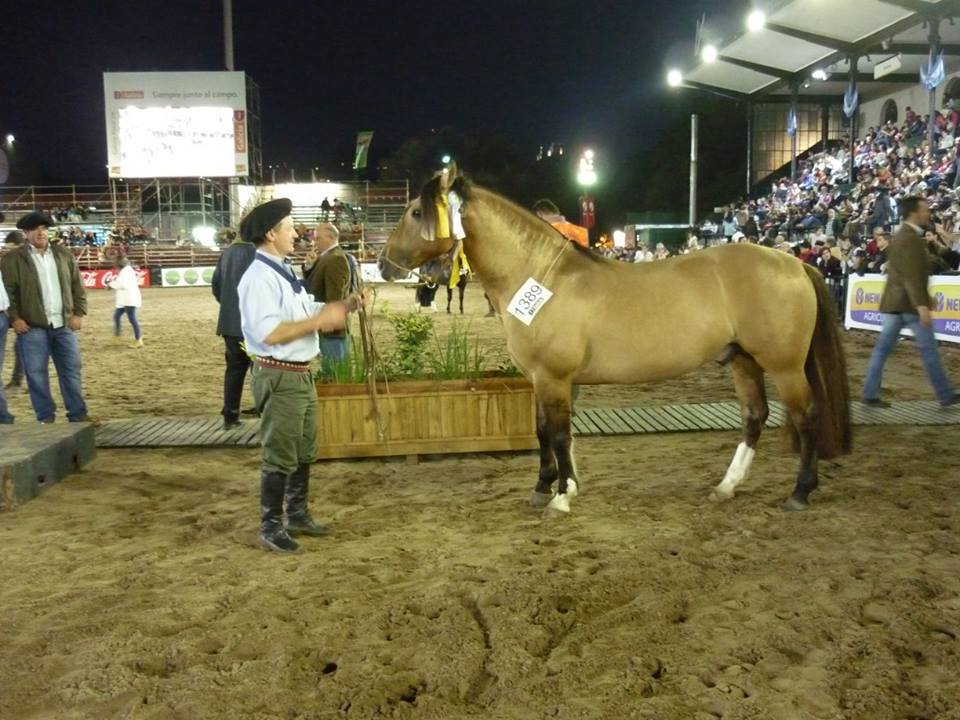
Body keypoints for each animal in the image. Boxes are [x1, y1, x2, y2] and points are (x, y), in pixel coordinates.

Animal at [376, 166, 848, 516]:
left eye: (415, 212)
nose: (383, 263)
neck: (541, 276)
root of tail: (793, 263)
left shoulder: (554, 378)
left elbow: (560, 435)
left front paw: (562, 496)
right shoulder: (540, 379)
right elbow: (542, 431)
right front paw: (543, 486)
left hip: (784, 365)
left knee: (806, 416)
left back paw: (800, 492)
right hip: (741, 359)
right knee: (754, 416)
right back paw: (727, 486)